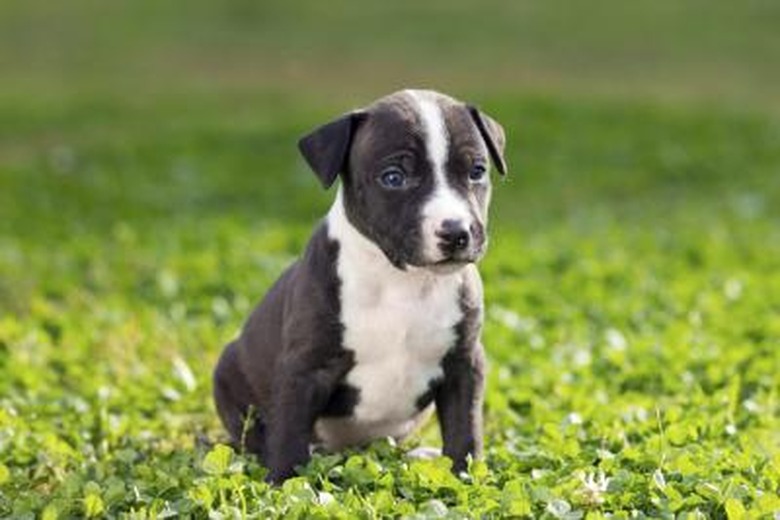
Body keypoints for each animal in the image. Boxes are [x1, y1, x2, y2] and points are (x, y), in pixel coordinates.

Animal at [212, 89, 506, 484]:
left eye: (477, 172)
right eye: (393, 177)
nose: (457, 232)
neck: (402, 279)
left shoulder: (464, 362)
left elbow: (465, 425)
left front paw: (464, 475)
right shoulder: (304, 368)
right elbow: (289, 427)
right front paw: (285, 481)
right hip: (228, 374)